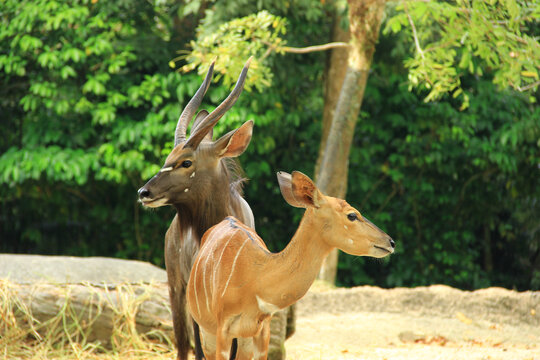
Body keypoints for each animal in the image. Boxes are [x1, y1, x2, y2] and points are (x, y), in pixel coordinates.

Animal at [139, 59, 258, 360]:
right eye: (168, 158)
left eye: (186, 162)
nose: (144, 193)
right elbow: (200, 347)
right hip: (178, 289)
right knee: (184, 343)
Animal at [188, 170, 394, 358]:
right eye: (352, 215)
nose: (391, 242)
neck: (254, 276)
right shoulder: (223, 329)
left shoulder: (261, 332)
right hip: (207, 331)